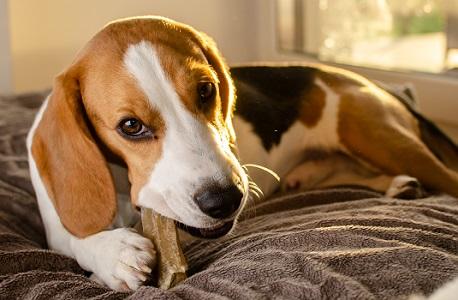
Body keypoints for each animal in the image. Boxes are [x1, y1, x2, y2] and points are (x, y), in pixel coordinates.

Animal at [27, 17, 458, 290]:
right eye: (130, 126)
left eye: (206, 90)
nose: (224, 200)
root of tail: (367, 80)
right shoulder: (54, 230)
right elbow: (73, 239)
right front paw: (112, 252)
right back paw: (399, 187)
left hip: (378, 137)